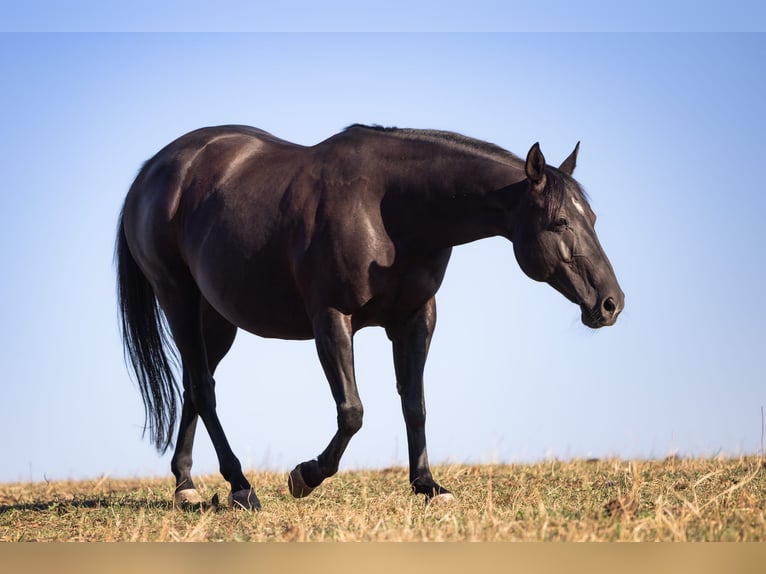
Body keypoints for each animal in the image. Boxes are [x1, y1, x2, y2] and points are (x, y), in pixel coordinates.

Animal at [115, 124, 624, 509]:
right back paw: (241, 487)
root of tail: (153, 171)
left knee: (194, 386)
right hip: (177, 297)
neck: (390, 207)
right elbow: (352, 412)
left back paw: (186, 485)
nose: (611, 303)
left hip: (218, 318)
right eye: (559, 223)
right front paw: (305, 475)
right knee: (204, 387)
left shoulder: (415, 319)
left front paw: (428, 487)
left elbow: (415, 404)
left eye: (594, 219)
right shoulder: (332, 318)